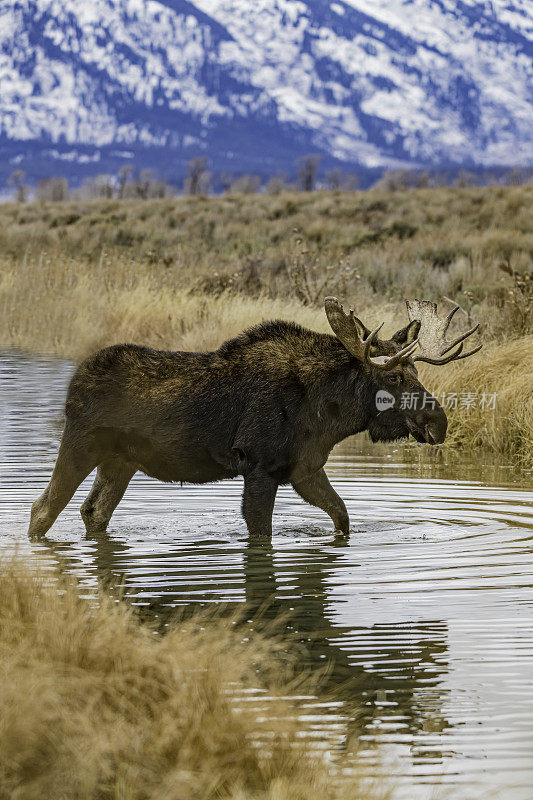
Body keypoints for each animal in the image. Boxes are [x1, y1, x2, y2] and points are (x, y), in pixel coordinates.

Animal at [27, 296, 480, 540]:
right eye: (392, 376)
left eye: (417, 371)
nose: (439, 423)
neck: (329, 411)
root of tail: (75, 381)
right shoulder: (260, 467)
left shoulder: (304, 468)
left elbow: (343, 517)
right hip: (82, 443)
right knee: (42, 508)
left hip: (121, 461)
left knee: (93, 512)